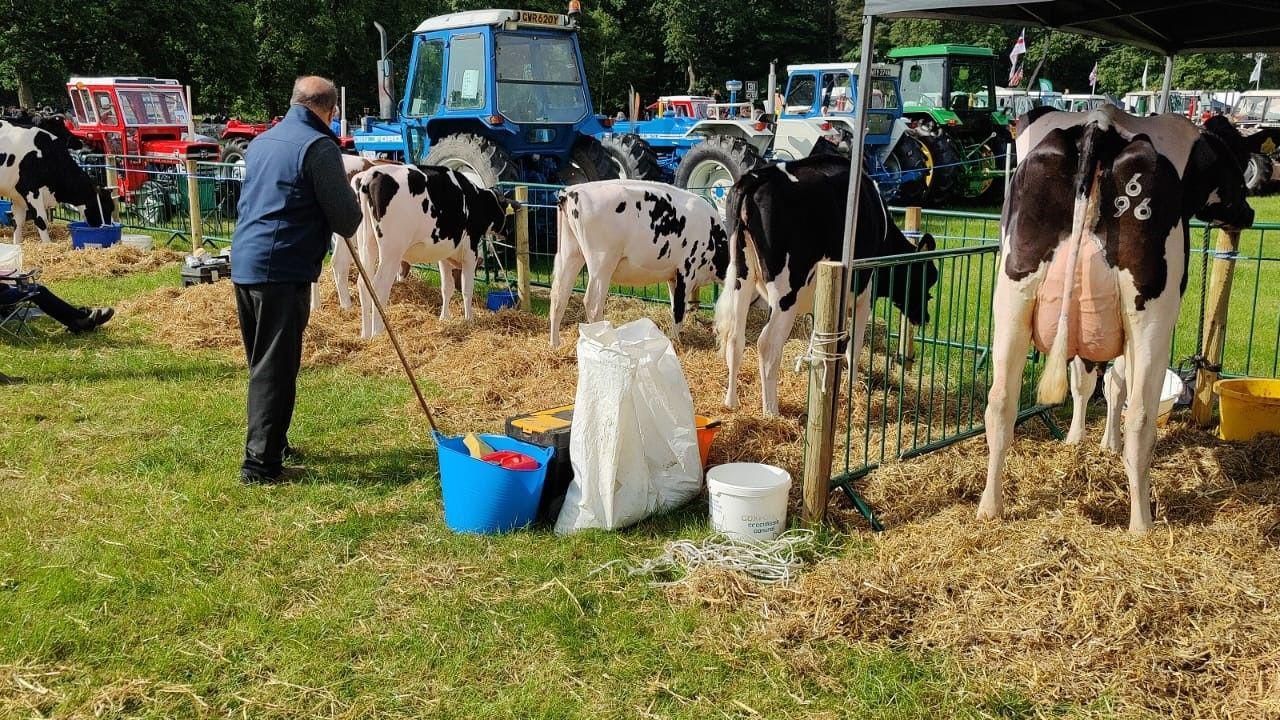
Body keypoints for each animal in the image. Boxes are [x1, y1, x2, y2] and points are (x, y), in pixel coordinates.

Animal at [353, 163, 517, 338]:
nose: (510, 234)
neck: (477, 199)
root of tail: (373, 174)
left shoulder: (445, 254)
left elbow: (447, 288)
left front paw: (444, 318)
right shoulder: (470, 252)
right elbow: (467, 289)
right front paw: (469, 319)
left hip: (366, 244)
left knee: (363, 283)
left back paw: (365, 335)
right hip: (392, 251)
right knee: (379, 286)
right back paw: (378, 333)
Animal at [550, 180, 732, 345]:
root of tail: (572, 191)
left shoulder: (673, 277)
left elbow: (675, 306)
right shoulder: (686, 271)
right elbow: (680, 310)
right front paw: (675, 343)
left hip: (570, 254)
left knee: (558, 297)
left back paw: (555, 345)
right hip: (602, 264)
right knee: (592, 304)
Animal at [711, 155, 942, 415]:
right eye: (927, 279)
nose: (924, 317)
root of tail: (756, 178)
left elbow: (821, 344)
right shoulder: (863, 295)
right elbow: (854, 345)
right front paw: (852, 390)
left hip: (741, 276)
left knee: (735, 337)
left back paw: (731, 402)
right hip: (786, 292)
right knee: (767, 344)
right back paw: (771, 412)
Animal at [983, 103, 1254, 530]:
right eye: (1239, 161)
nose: (1248, 212)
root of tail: (1101, 123)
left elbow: (1085, 381)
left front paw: (1077, 440)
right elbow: (1117, 384)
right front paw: (1107, 444)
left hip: (1012, 294)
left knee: (1000, 402)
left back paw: (989, 509)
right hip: (1151, 314)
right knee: (1140, 417)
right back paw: (1142, 524)